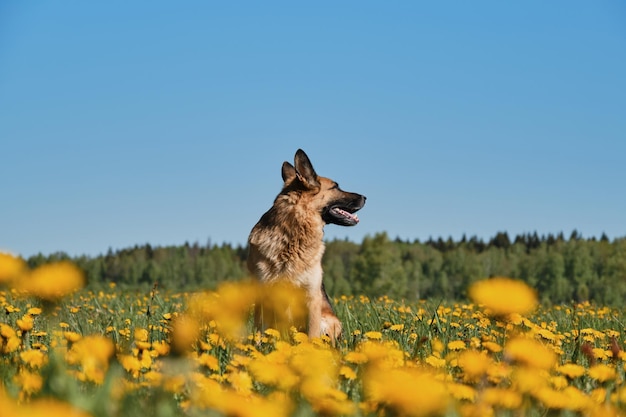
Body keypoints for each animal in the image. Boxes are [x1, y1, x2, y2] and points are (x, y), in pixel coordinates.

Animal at [247, 148, 366, 342]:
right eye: (336, 187)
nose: (365, 197)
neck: (293, 236)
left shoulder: (312, 298)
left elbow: (311, 335)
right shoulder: (262, 296)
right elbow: (257, 333)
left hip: (328, 321)